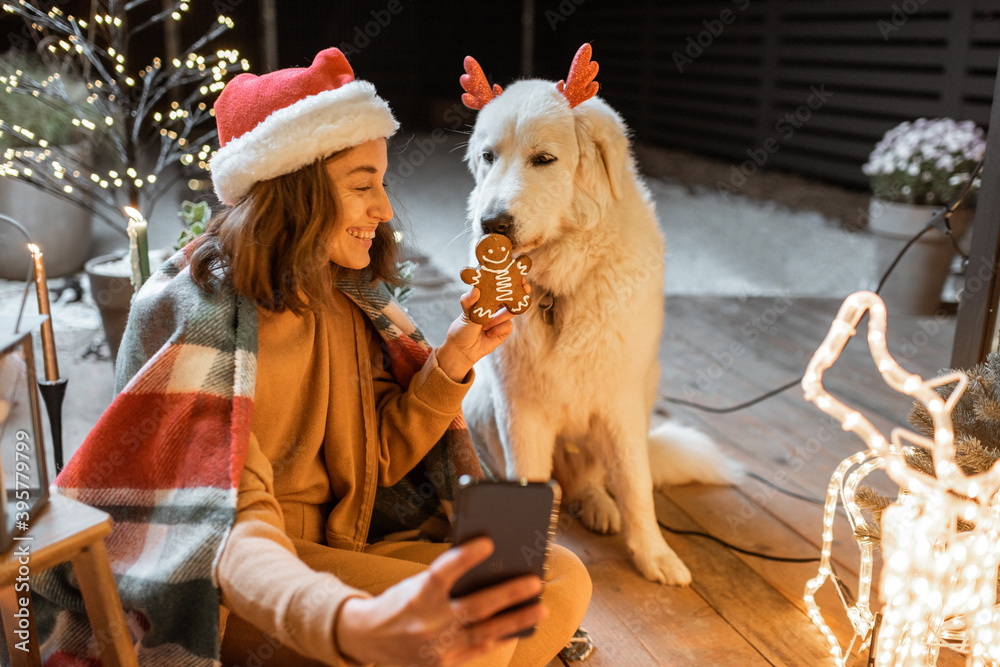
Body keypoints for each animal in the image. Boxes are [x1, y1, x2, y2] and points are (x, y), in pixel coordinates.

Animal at [458, 45, 736, 584]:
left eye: (544, 159)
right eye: (488, 157)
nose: (491, 223)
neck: (559, 284)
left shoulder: (620, 403)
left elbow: (635, 485)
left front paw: (653, 554)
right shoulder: (519, 407)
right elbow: (525, 477)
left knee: (596, 479)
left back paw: (596, 504)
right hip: (482, 403)